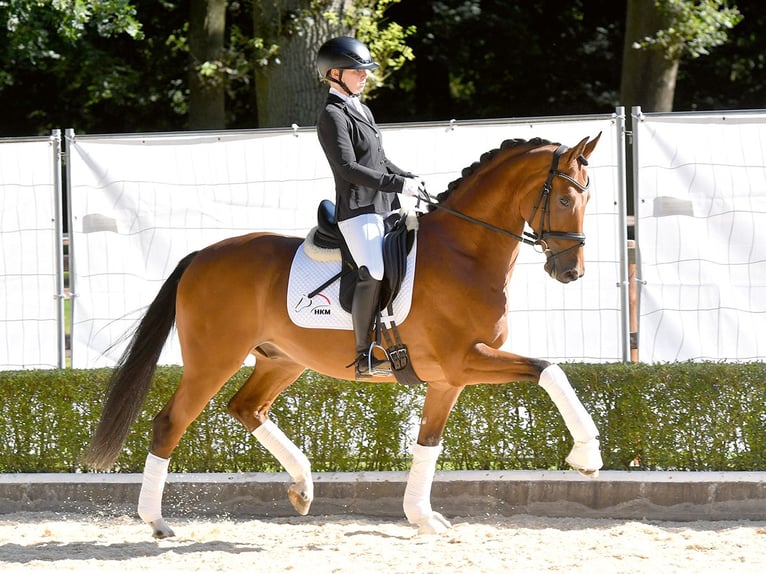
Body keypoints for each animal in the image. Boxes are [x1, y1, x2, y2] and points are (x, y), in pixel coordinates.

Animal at [81, 134, 604, 540]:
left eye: (588, 201)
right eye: (563, 200)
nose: (571, 272)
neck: (464, 252)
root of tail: (202, 255)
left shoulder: (448, 379)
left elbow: (428, 444)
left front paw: (422, 518)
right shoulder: (464, 360)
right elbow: (550, 370)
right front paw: (587, 454)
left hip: (281, 359)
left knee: (247, 408)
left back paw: (302, 486)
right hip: (214, 359)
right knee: (170, 423)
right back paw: (157, 522)